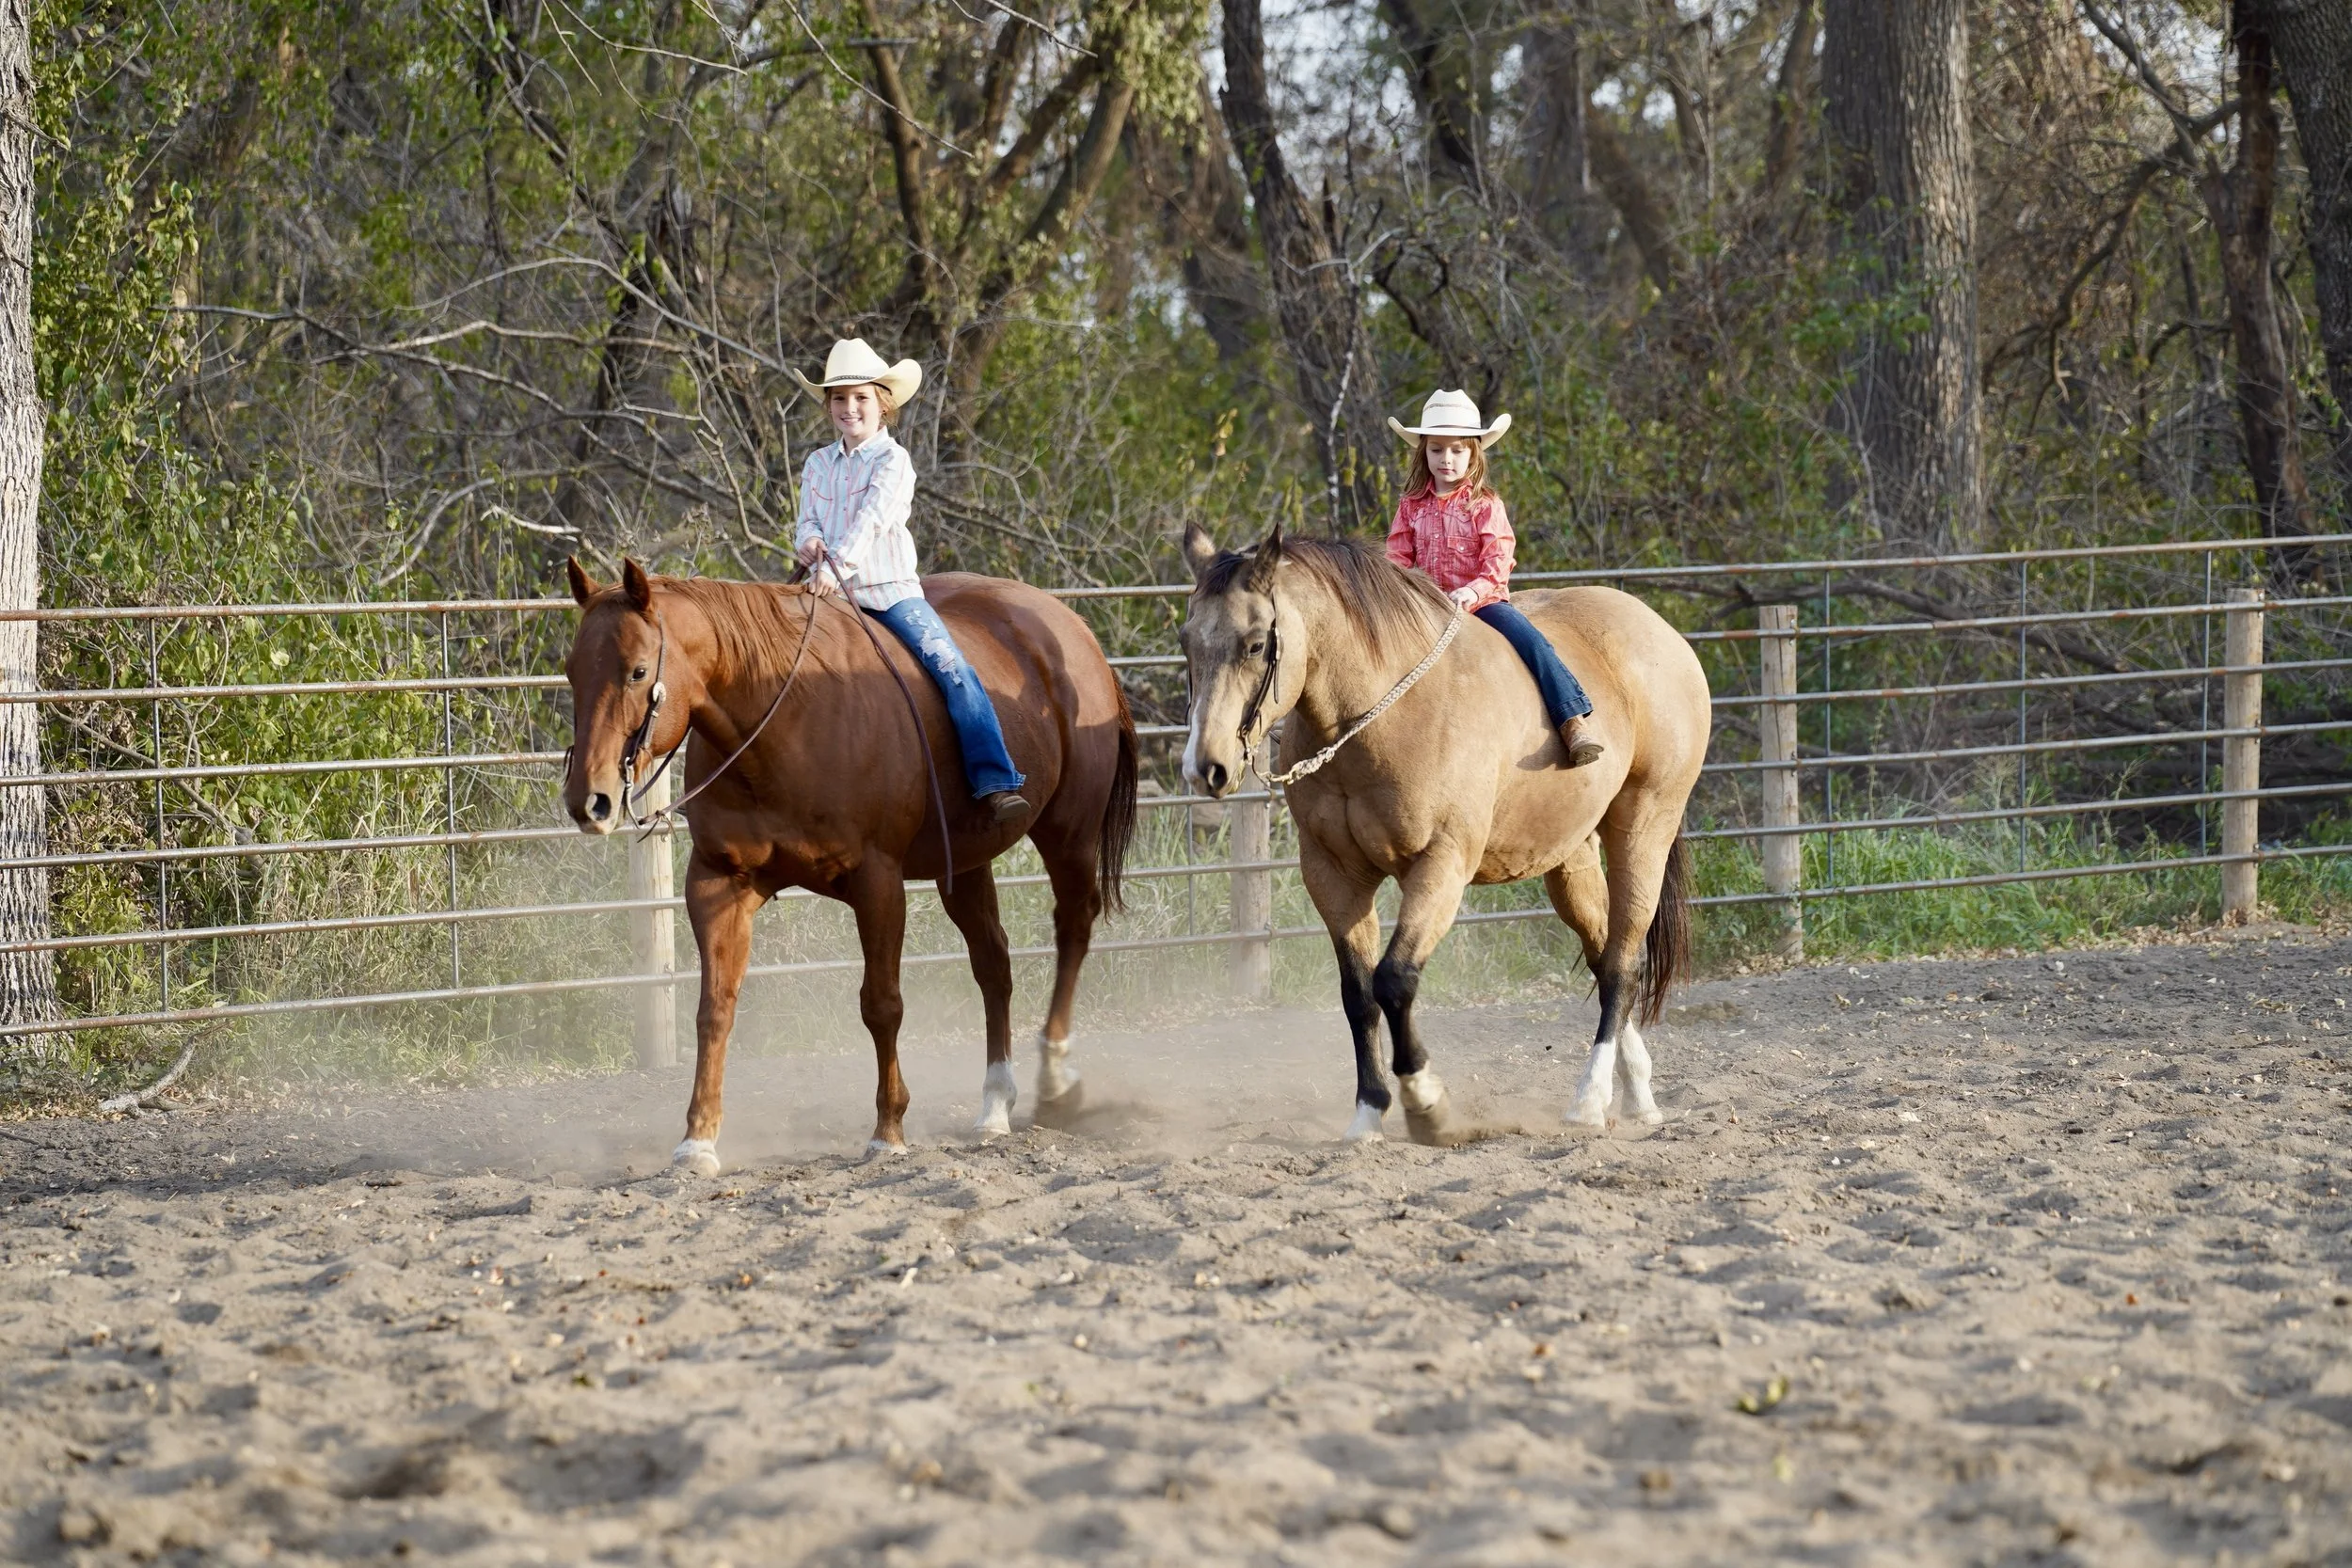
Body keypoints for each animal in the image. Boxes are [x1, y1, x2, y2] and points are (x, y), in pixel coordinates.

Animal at [562, 557, 1138, 1170]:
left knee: (1073, 928)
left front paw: (887, 1131)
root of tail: (1072, 630)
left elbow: (881, 1004)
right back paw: (994, 1108)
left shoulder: (878, 882)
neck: (783, 718)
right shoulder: (717, 882)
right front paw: (698, 1140)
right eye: (572, 672)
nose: (589, 800)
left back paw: (1054, 1075)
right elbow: (714, 1007)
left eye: (637, 671)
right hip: (964, 865)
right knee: (994, 965)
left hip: (1069, 834)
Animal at [1178, 522, 1710, 1139]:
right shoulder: (1332, 876)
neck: (1378, 717)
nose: (1206, 767)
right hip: (1570, 857)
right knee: (1604, 958)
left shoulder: (1440, 865)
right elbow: (1357, 994)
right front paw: (1367, 1115)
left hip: (1644, 829)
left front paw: (1425, 1103)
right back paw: (1638, 1094)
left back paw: (1589, 1100)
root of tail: (1660, 632)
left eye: (1255, 644)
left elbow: (1394, 979)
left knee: (1624, 964)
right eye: (1187, 642)